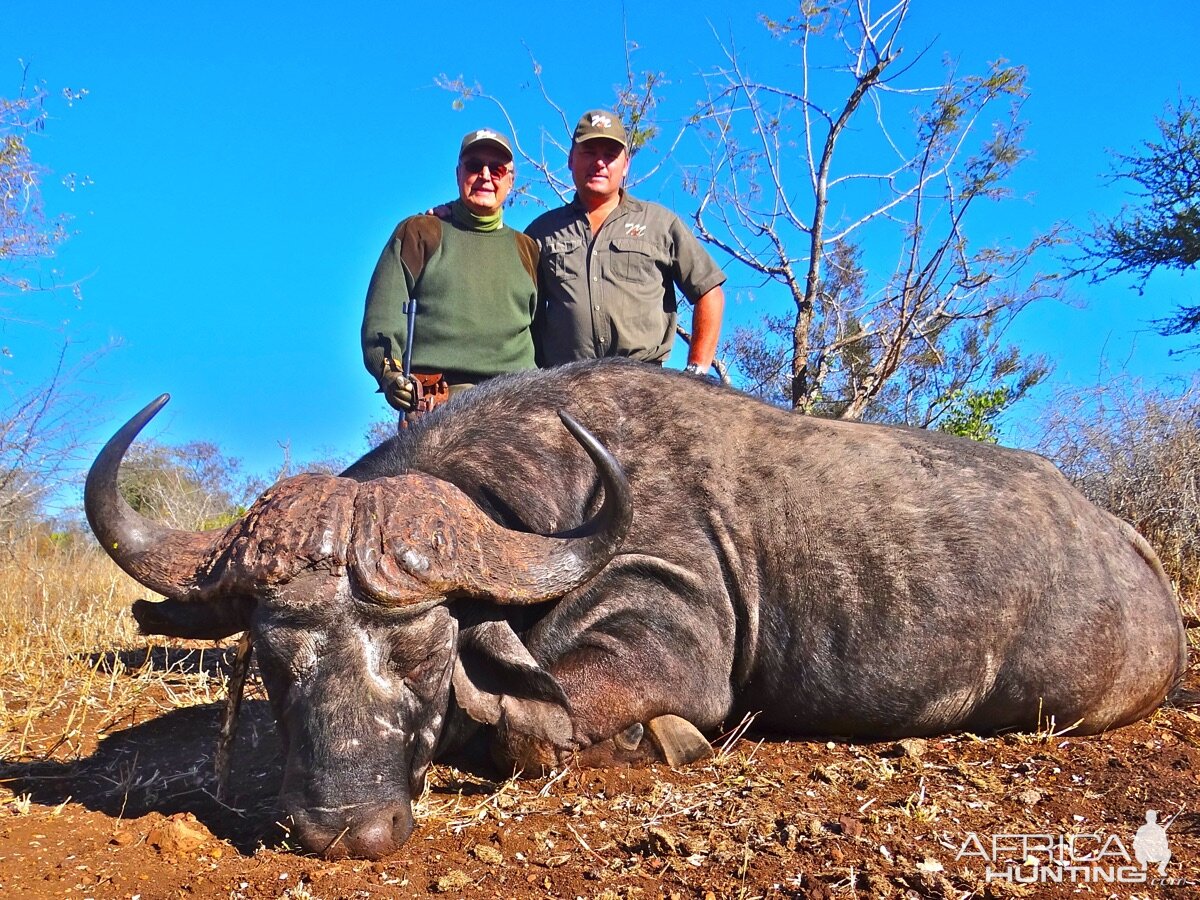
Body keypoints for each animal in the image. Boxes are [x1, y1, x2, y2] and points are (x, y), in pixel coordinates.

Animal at [84, 357, 1180, 859]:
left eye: (428, 650)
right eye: (274, 660)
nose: (347, 830)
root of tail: (1127, 544)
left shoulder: (662, 639)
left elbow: (537, 724)